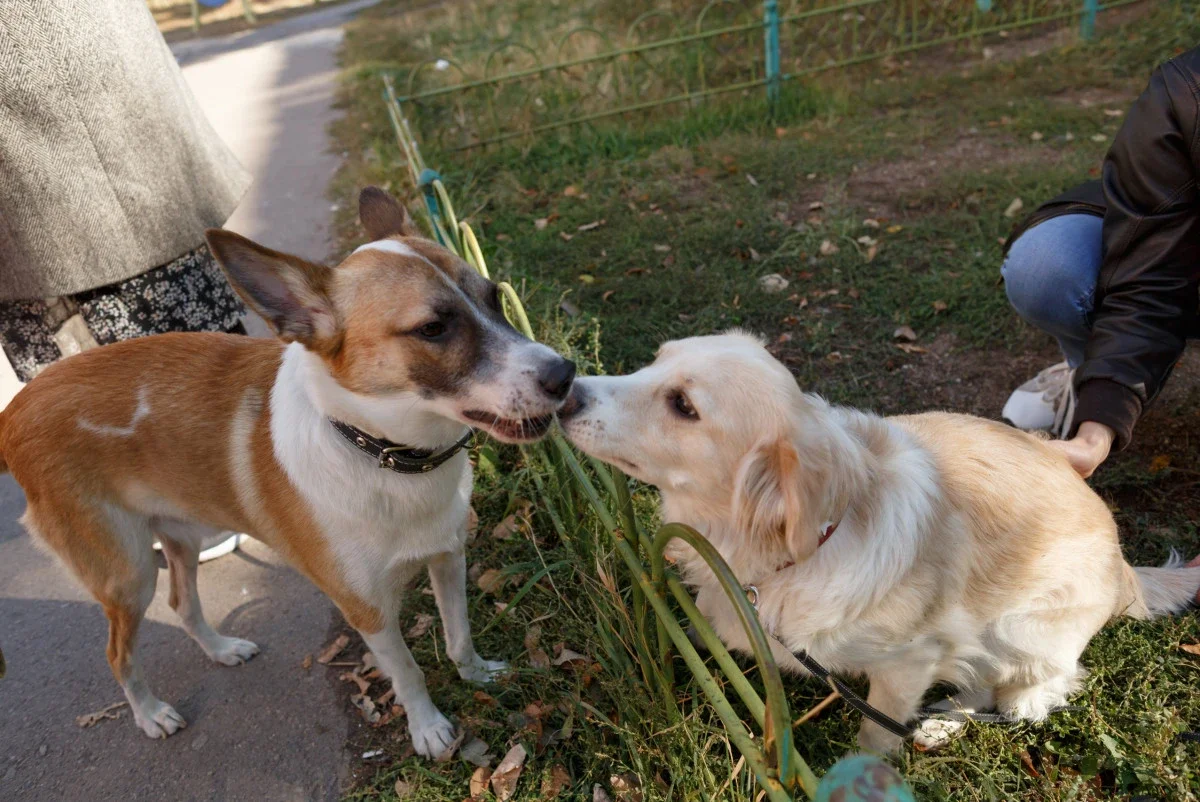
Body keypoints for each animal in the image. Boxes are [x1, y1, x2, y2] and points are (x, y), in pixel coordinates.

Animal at [0, 190, 576, 753]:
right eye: (432, 328)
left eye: (494, 298)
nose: (565, 374)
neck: (382, 454)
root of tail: (15, 410)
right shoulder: (367, 611)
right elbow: (409, 672)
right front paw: (427, 727)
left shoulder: (448, 558)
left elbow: (459, 636)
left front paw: (477, 675)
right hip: (127, 575)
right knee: (118, 654)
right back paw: (150, 714)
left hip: (180, 539)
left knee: (183, 603)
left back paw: (221, 648)